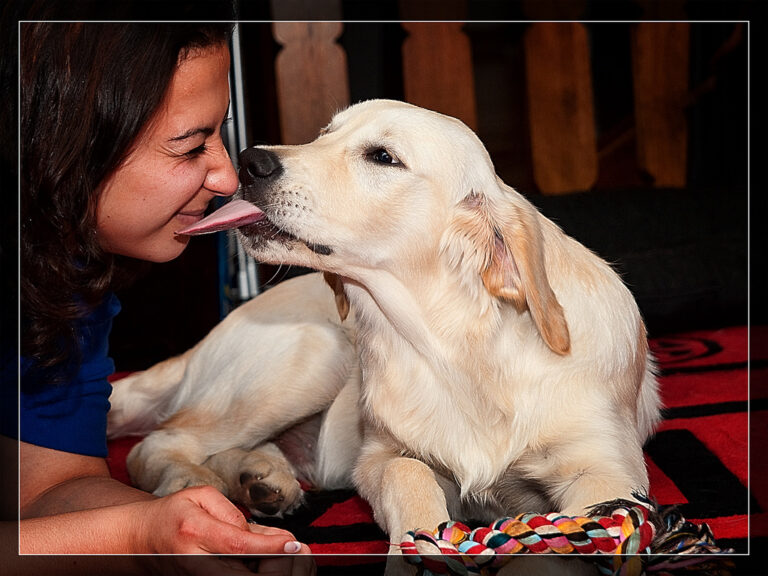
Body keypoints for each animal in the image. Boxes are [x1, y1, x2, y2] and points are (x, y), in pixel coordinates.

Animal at [106, 99, 660, 564]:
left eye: (383, 156)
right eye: (325, 133)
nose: (249, 161)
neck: (458, 348)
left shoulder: (609, 471)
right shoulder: (381, 457)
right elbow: (409, 474)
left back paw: (261, 478)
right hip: (316, 353)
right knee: (155, 444)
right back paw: (195, 484)